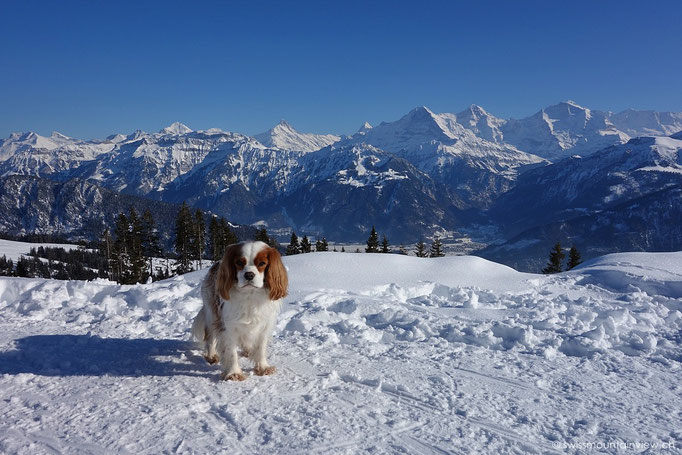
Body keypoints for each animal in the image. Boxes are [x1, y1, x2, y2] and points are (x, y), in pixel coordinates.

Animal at [191, 242, 286, 382]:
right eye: (239, 262)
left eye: (262, 263)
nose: (249, 275)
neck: (250, 295)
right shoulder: (227, 326)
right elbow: (231, 352)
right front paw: (233, 373)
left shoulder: (264, 324)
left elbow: (260, 347)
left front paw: (263, 368)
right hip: (212, 312)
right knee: (210, 335)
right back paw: (211, 355)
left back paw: (247, 350)